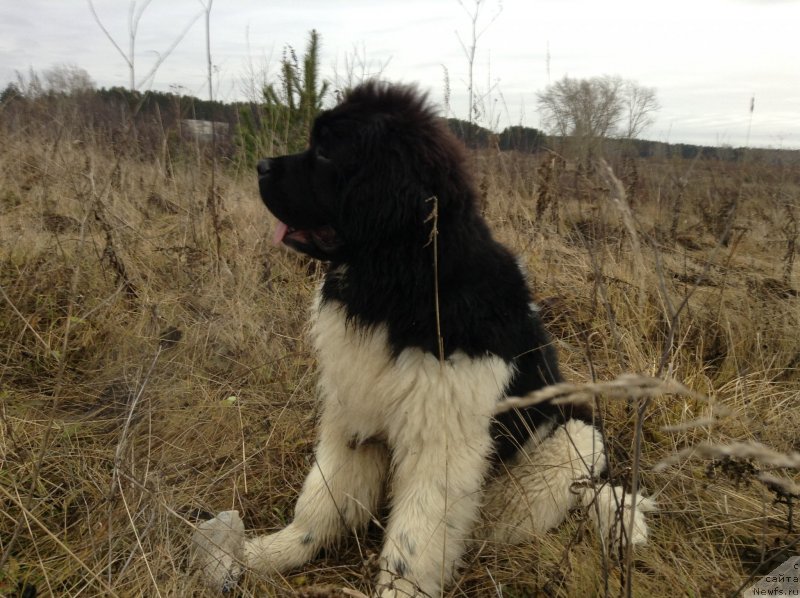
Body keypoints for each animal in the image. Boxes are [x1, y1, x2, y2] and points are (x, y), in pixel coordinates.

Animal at [195, 82, 656, 596]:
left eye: (326, 151)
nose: (260, 165)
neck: (401, 281)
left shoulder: (441, 443)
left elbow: (413, 543)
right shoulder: (352, 412)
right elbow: (323, 500)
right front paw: (271, 554)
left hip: (573, 441)